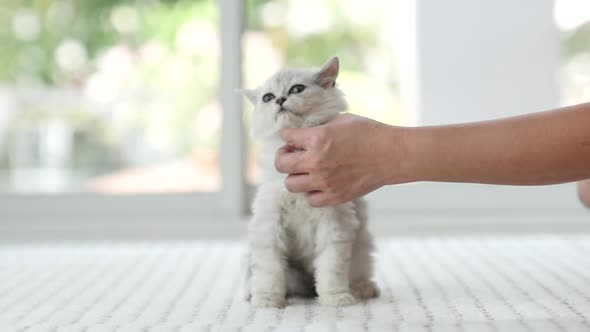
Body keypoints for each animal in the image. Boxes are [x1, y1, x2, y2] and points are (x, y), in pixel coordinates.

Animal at [244, 55, 380, 308]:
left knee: (357, 274)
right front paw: (267, 301)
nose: (280, 100)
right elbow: (268, 269)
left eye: (296, 89)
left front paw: (336, 299)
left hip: (362, 248)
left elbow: (331, 267)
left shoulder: (335, 222)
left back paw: (363, 289)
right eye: (268, 97)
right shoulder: (269, 222)